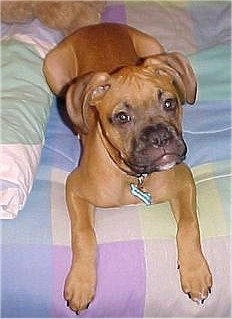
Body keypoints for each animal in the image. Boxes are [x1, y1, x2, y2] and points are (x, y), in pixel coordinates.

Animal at [43, 23, 212, 314]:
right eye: (122, 117)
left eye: (169, 103)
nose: (159, 137)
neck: (134, 176)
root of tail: (95, 26)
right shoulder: (74, 189)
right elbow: (84, 235)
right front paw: (81, 283)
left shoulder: (185, 182)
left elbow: (189, 225)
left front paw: (195, 272)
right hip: (53, 72)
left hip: (153, 46)